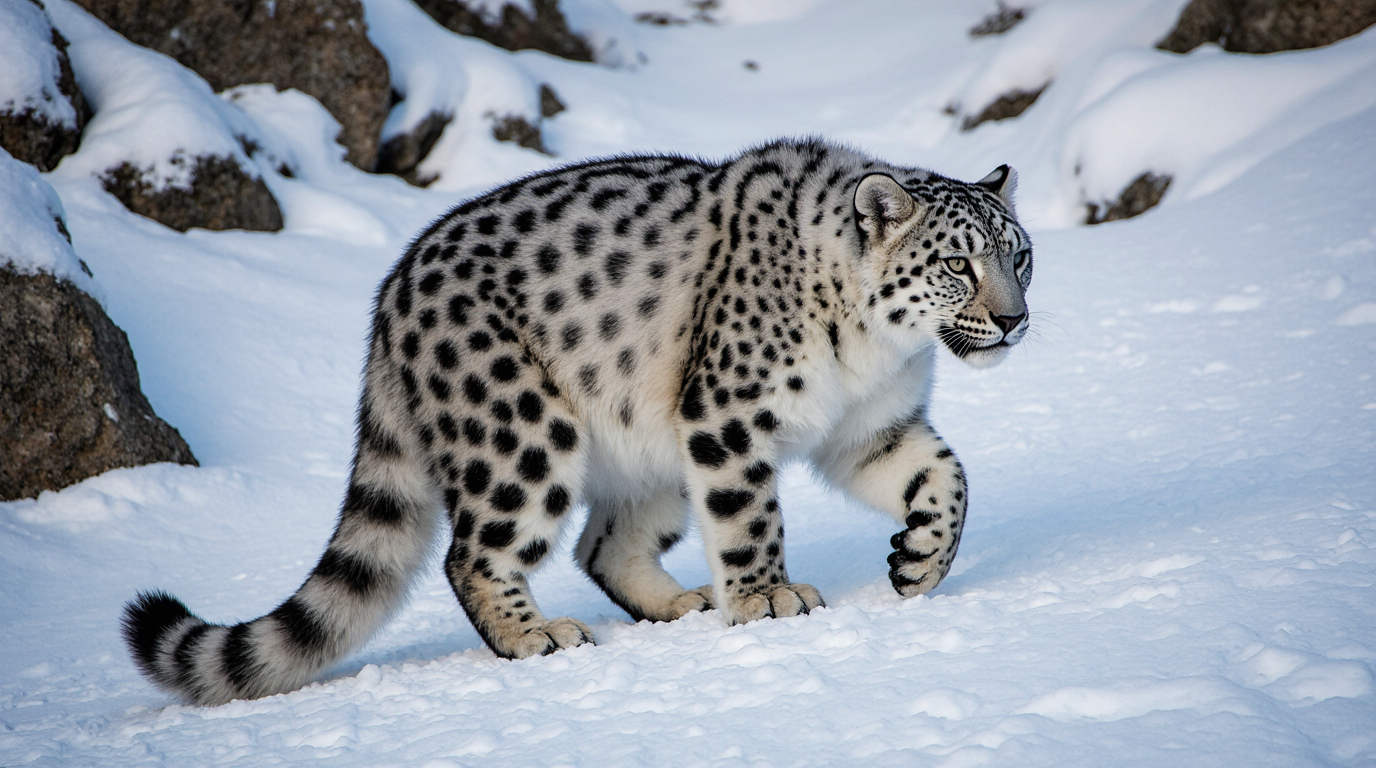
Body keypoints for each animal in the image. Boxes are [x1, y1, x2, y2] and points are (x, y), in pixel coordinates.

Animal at [122, 138, 1032, 705]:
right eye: (958, 262)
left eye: (1019, 255)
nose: (1014, 319)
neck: (875, 349)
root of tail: (389, 296)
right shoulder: (732, 417)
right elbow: (750, 516)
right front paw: (768, 600)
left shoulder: (869, 429)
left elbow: (946, 474)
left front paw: (920, 561)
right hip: (521, 436)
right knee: (473, 554)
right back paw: (540, 638)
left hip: (654, 452)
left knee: (603, 542)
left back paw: (680, 603)